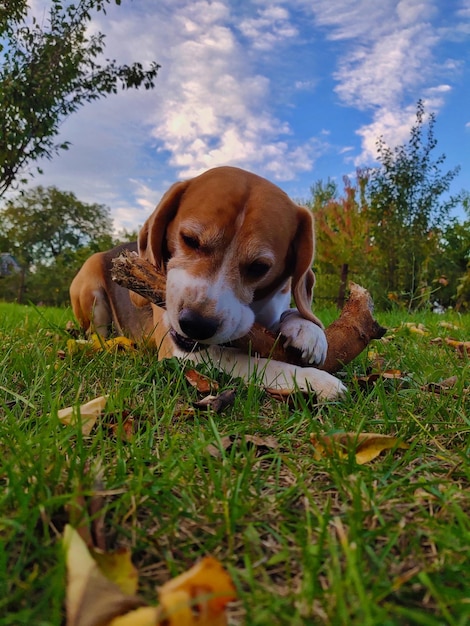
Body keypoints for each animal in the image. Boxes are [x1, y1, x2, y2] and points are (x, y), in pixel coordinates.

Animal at [71, 166, 346, 398]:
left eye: (259, 267)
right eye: (189, 239)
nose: (196, 325)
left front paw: (306, 330)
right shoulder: (180, 352)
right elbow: (254, 362)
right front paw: (315, 380)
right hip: (91, 280)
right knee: (96, 332)